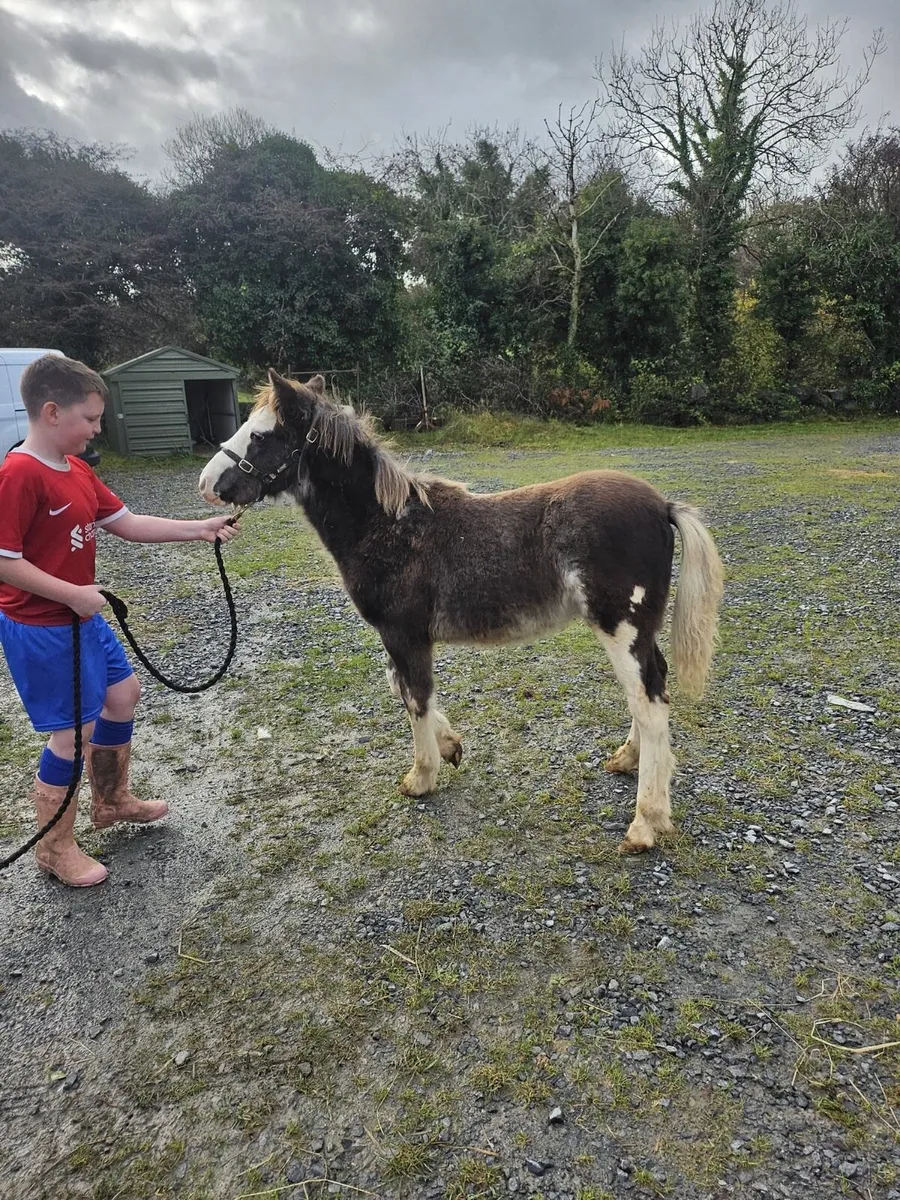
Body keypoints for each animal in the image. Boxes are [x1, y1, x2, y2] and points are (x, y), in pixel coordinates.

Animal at [199, 371, 724, 854]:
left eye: (261, 434)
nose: (207, 484)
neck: (389, 525)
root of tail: (662, 506)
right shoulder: (401, 638)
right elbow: (403, 688)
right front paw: (450, 747)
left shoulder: (404, 634)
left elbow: (415, 698)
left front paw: (421, 777)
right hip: (635, 631)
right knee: (650, 688)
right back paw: (626, 760)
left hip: (621, 626)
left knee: (649, 702)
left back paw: (646, 823)